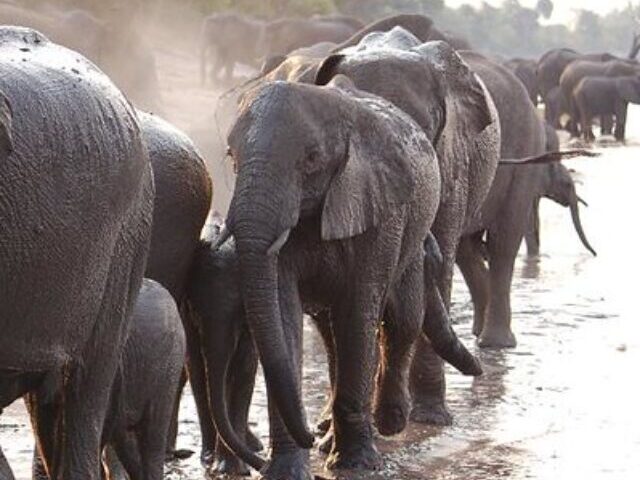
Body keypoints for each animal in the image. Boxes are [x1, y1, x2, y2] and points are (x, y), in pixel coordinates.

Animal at [218, 72, 482, 480]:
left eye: (312, 159)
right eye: (232, 157)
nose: (308, 434)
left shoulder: (379, 210)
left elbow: (360, 313)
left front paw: (355, 465)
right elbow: (282, 312)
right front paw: (287, 470)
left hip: (411, 233)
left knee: (402, 320)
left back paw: (388, 421)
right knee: (336, 335)